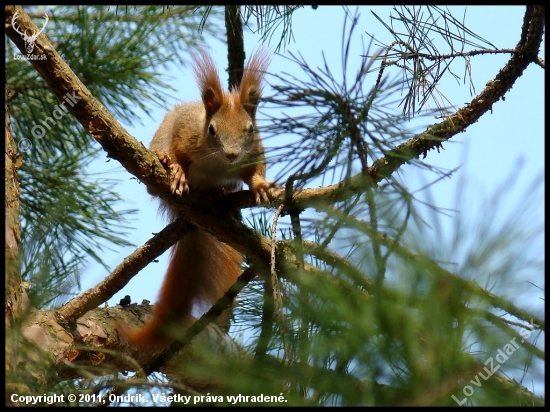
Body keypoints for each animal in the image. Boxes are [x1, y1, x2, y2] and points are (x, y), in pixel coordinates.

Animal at [122, 50, 274, 350]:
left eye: (250, 130)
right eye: (212, 130)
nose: (231, 154)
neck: (218, 162)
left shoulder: (254, 153)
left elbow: (255, 171)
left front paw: (261, 186)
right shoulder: (185, 133)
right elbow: (178, 152)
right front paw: (177, 170)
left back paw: (217, 194)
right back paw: (165, 163)